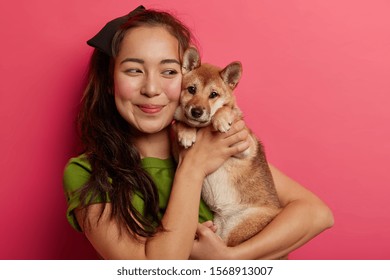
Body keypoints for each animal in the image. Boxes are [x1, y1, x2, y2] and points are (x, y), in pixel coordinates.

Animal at [175, 47, 282, 246]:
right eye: (192, 89)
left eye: (213, 95)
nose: (196, 111)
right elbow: (181, 121)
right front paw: (186, 131)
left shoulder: (245, 145)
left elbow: (225, 109)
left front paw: (222, 118)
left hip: (238, 229)